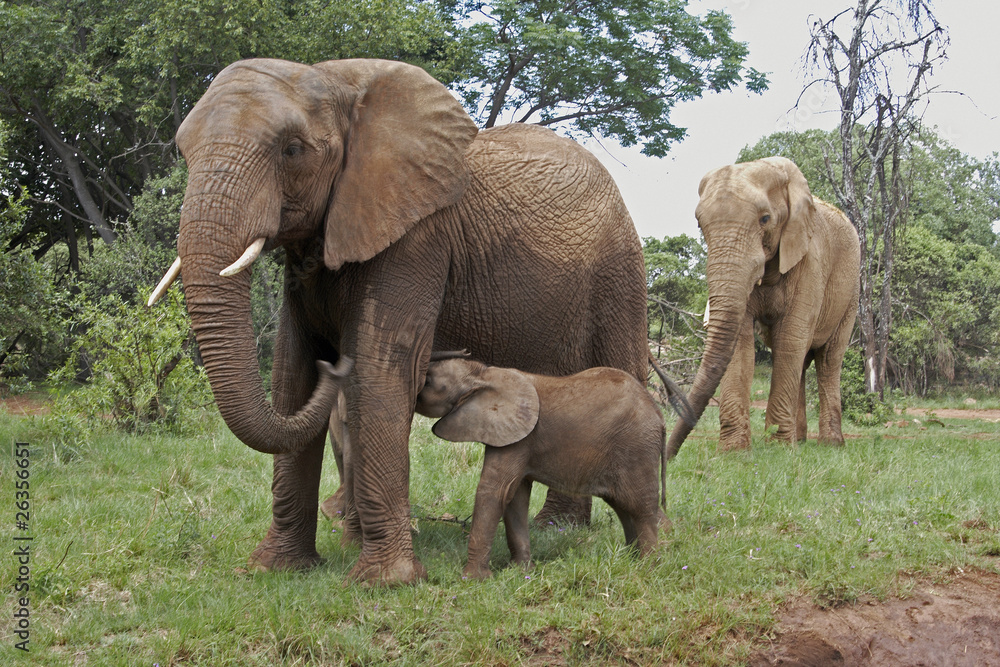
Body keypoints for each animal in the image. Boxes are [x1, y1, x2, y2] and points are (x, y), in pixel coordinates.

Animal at [148, 60, 648, 588]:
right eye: (183, 152)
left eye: (292, 150)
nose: (334, 363)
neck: (338, 83)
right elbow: (291, 375)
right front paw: (276, 569)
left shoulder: (418, 237)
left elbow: (380, 372)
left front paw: (386, 581)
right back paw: (557, 528)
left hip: (619, 267)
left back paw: (563, 529)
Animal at [668, 159, 856, 456]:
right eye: (699, 224)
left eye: (765, 219)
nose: (668, 455)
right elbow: (742, 344)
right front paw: (734, 451)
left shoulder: (810, 262)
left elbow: (791, 337)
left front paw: (779, 449)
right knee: (799, 359)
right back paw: (800, 440)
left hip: (851, 291)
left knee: (828, 359)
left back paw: (831, 445)